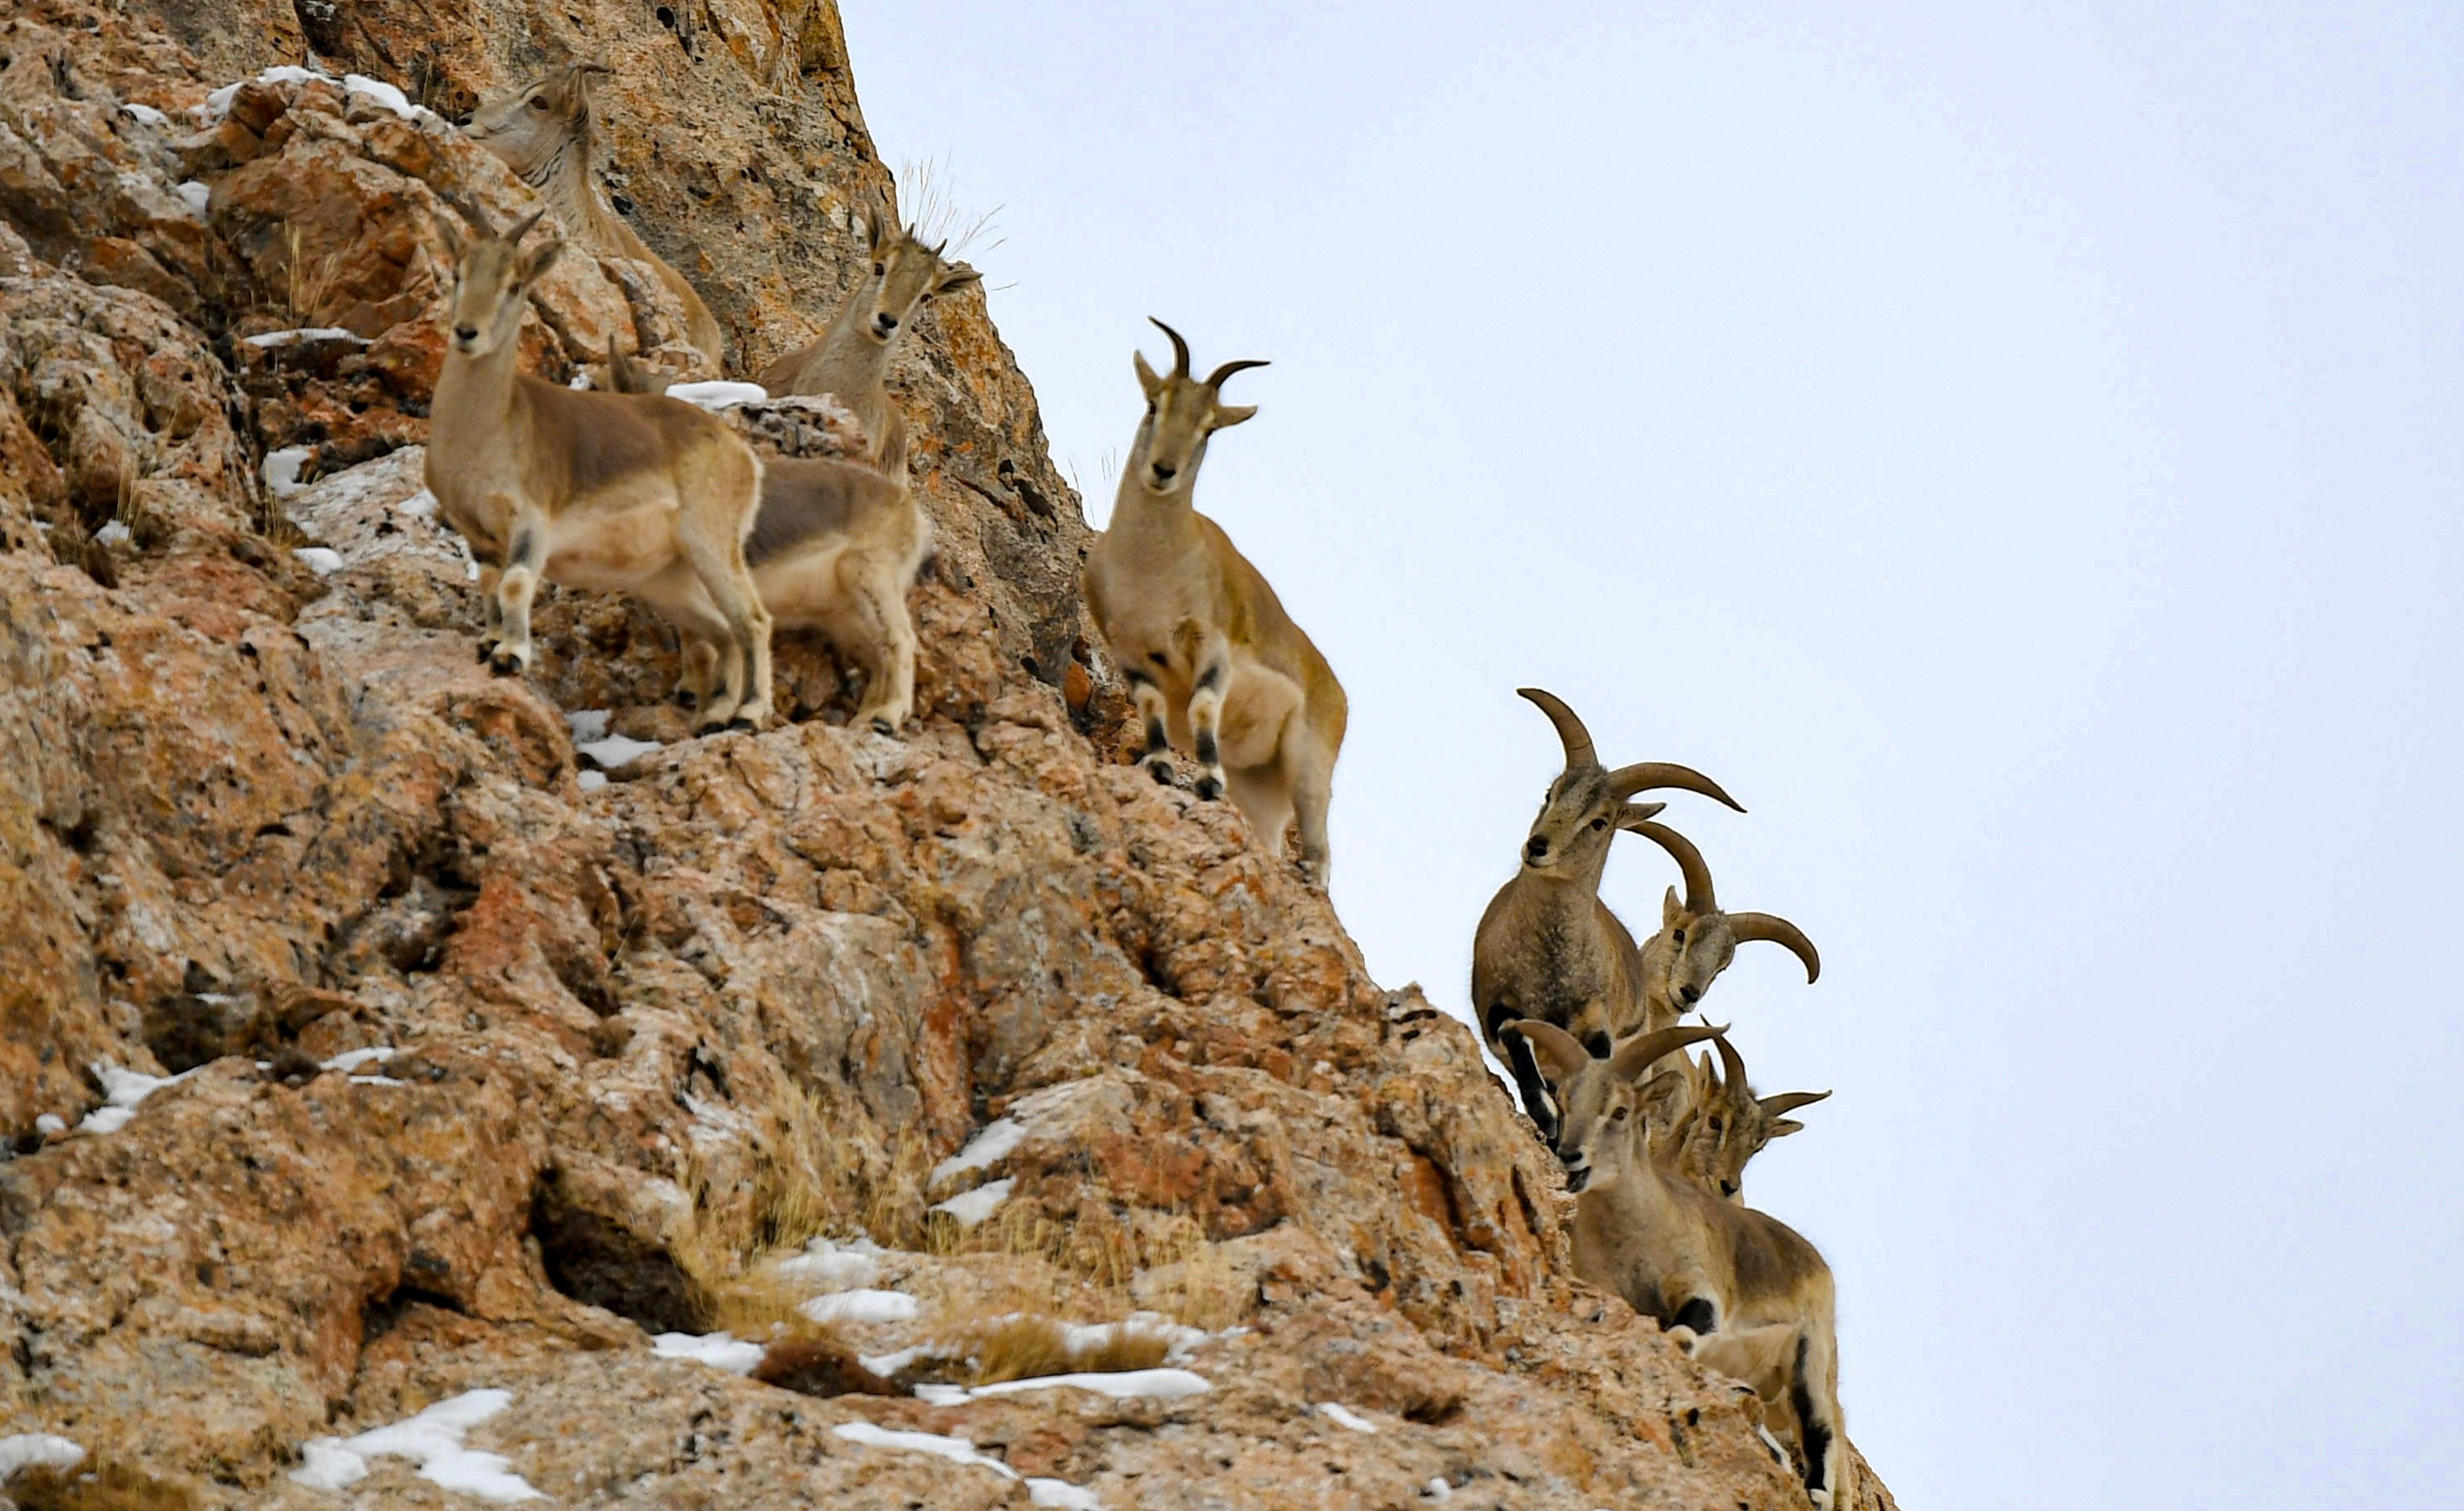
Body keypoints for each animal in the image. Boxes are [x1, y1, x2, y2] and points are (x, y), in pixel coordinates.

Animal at [425, 207, 774, 732]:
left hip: (711, 546)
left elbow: (516, 582)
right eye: (458, 273)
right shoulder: (477, 532)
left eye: (515, 283)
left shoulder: (532, 521)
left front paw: (511, 656)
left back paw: (748, 713)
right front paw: (490, 645)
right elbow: (489, 585)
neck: (490, 428)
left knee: (752, 620)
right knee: (722, 630)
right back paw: (714, 714)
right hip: (667, 579)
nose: (467, 332)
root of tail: (742, 456)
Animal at [1081, 320, 1346, 884]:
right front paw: (1160, 766)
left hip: (1308, 770)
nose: (1163, 470)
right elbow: (1153, 705)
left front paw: (1206, 781)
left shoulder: (1211, 649)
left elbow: (1202, 705)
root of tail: (1338, 691)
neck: (1152, 567)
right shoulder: (1130, 651)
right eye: (1154, 403)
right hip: (1262, 788)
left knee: (1322, 852)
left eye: (1209, 428)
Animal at [1470, 687, 1743, 1141]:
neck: (1552, 970)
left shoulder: (1597, 1022)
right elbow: (1519, 1047)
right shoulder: (1500, 1003)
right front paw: (1547, 1118)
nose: (1537, 847)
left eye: (1600, 821)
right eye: (1551, 793)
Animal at [1505, 1019, 1851, 1509]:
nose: (1571, 1155)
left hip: (1813, 1357)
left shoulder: (1703, 1292)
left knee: (1821, 1433)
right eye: (1568, 1101)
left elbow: (1682, 1333)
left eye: (1621, 1110)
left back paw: (1812, 1487)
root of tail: (1812, 1255)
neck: (1636, 1240)